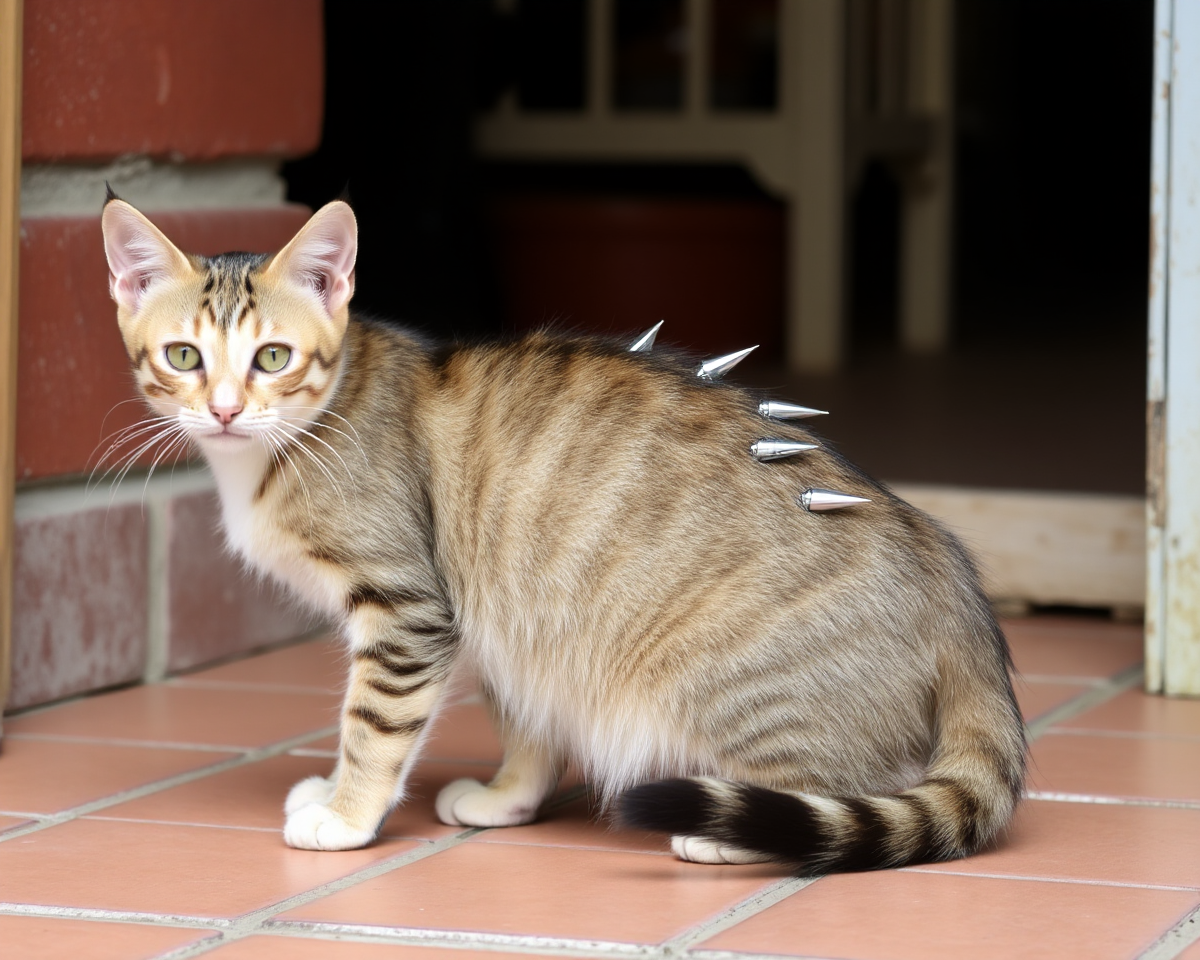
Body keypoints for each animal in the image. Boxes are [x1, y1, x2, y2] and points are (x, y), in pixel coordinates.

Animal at [98, 194, 1027, 868]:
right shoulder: (508, 629)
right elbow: (527, 729)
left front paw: (347, 812)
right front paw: (500, 799)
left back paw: (726, 835)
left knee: (831, 793)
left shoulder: (407, 610)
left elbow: (372, 728)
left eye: (272, 358)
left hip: (737, 690)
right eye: (184, 357)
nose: (224, 409)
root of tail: (953, 579)